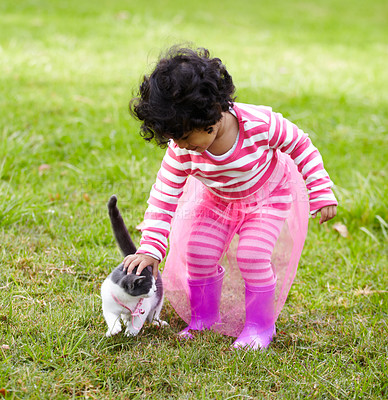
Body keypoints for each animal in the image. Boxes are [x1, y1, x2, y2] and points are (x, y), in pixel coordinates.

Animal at [101, 195, 166, 336]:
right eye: (148, 286)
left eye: (154, 283)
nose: (155, 290)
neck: (127, 300)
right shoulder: (108, 303)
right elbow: (110, 316)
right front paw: (113, 329)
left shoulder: (143, 308)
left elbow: (137, 321)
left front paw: (130, 333)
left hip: (158, 300)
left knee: (154, 314)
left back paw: (158, 322)